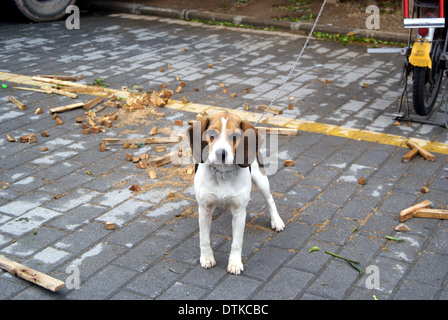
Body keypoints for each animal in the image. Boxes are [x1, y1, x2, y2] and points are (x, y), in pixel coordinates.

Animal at [187, 111, 286, 274]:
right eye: (212, 134)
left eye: (234, 136)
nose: (221, 153)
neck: (222, 173)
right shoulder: (204, 209)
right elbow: (204, 239)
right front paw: (207, 258)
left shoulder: (240, 212)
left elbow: (237, 242)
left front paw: (234, 263)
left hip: (261, 179)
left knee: (270, 200)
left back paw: (276, 221)